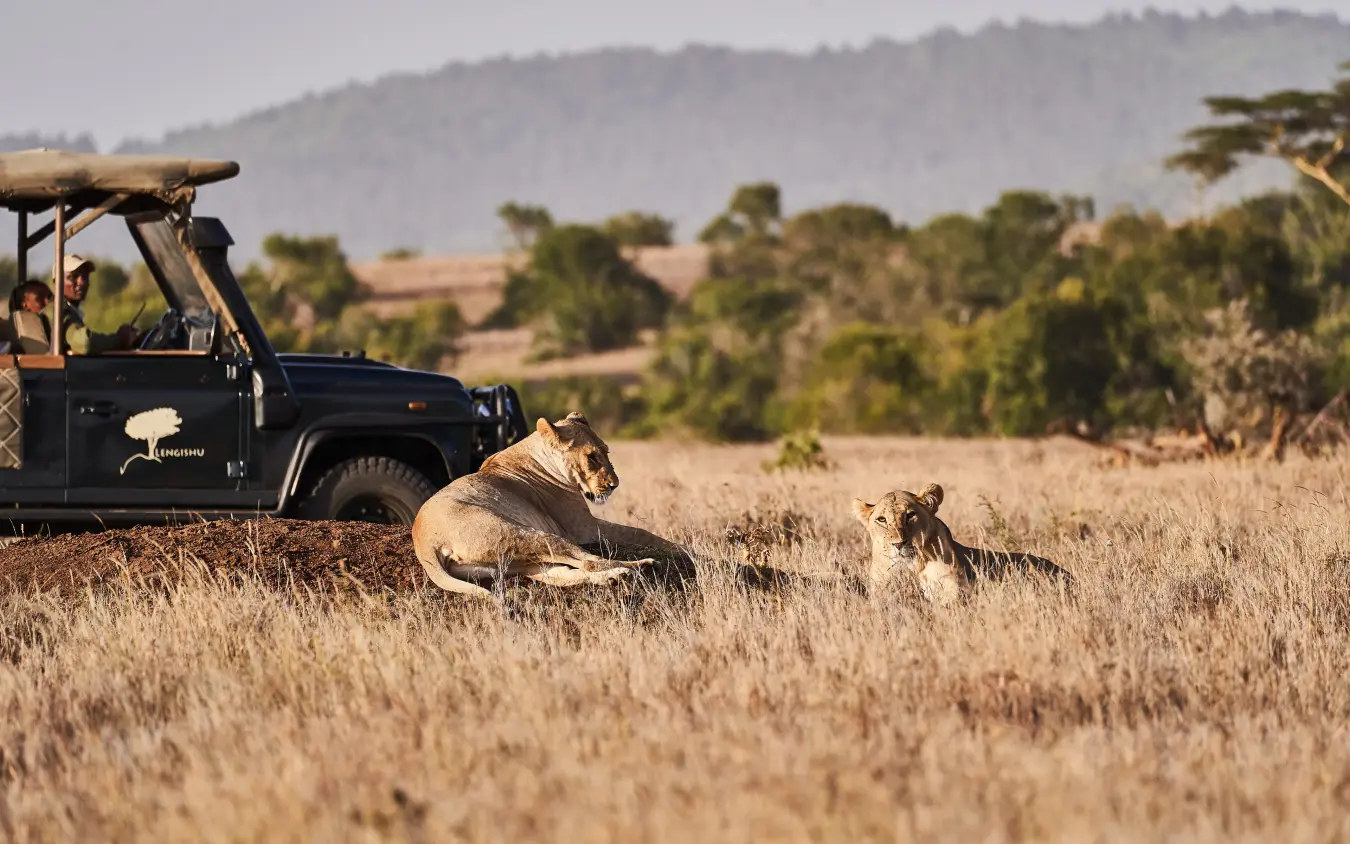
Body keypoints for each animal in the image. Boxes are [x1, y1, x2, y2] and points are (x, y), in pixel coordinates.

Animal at [412, 411, 690, 598]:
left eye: (607, 451)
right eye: (591, 457)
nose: (614, 485)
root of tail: (423, 541)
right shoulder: (583, 527)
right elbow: (638, 532)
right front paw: (682, 548)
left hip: (519, 563)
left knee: (568, 574)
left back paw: (616, 577)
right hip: (525, 535)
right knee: (588, 561)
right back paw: (638, 567)